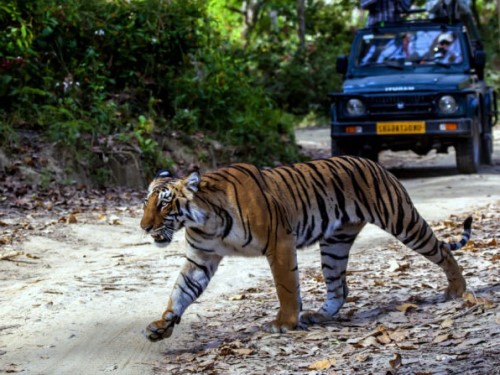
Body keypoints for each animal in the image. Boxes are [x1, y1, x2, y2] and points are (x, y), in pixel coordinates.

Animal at [141, 157, 472, 342]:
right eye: (145, 202)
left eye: (164, 203)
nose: (143, 227)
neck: (205, 219)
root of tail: (374, 162)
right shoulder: (202, 257)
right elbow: (181, 291)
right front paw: (162, 326)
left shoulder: (280, 242)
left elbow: (286, 286)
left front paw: (284, 323)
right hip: (335, 244)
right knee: (340, 287)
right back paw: (319, 316)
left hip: (401, 219)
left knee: (442, 250)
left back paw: (457, 290)